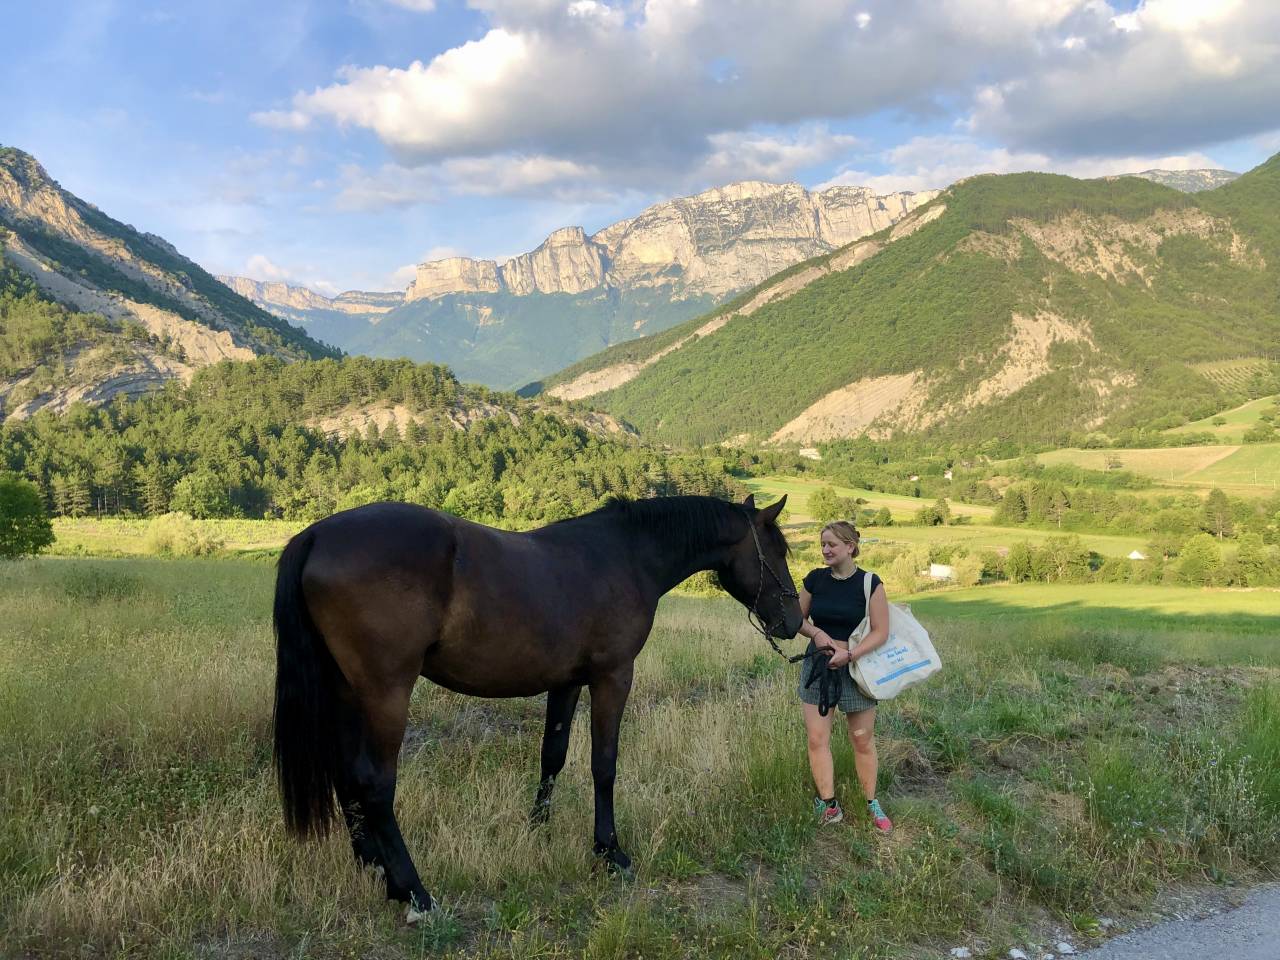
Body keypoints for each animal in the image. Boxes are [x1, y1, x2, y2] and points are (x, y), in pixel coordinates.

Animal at [272, 493, 801, 921]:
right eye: (778, 551)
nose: (795, 620)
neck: (626, 556)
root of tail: (317, 535)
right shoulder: (613, 677)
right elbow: (604, 764)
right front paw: (609, 851)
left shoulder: (565, 684)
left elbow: (554, 754)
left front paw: (538, 828)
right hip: (386, 694)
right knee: (375, 784)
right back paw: (414, 892)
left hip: (347, 692)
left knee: (346, 776)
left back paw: (372, 867)